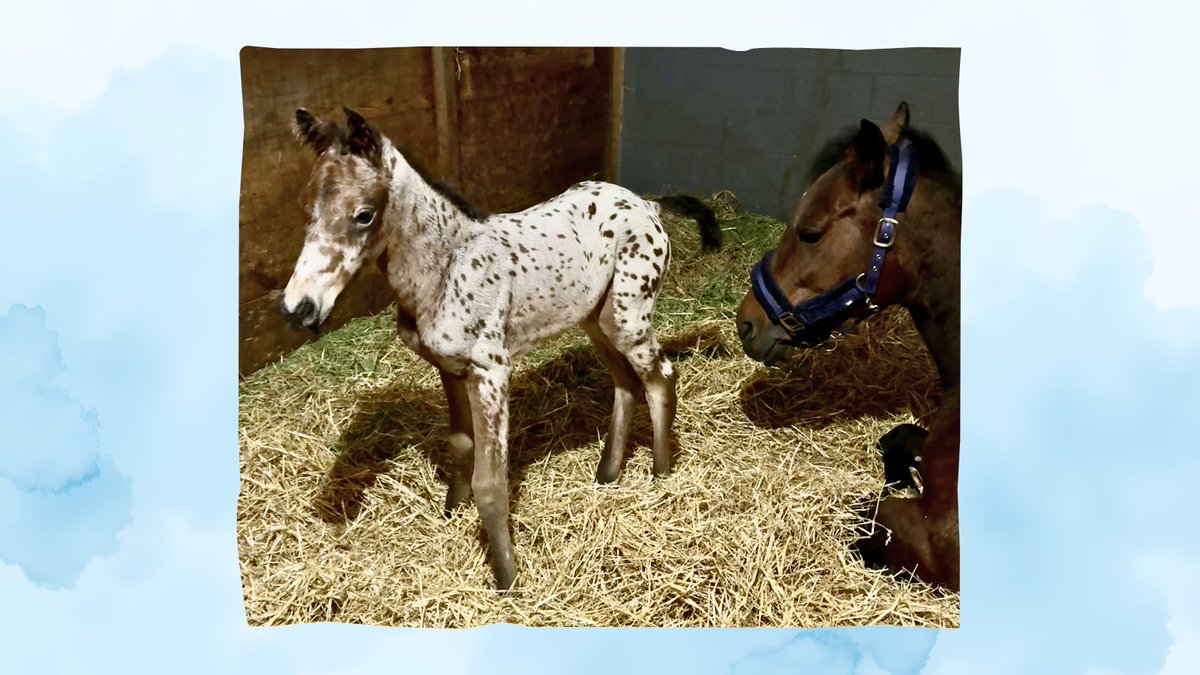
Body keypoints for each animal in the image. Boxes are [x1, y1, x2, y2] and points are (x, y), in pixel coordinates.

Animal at [278, 107, 722, 590]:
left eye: (363, 214)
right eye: (306, 205)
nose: (299, 308)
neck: (445, 268)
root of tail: (648, 205)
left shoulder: (491, 371)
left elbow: (491, 481)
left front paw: (506, 575)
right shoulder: (450, 369)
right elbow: (459, 443)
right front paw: (451, 509)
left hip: (629, 314)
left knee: (660, 378)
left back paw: (661, 473)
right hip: (595, 318)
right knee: (625, 383)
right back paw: (607, 474)